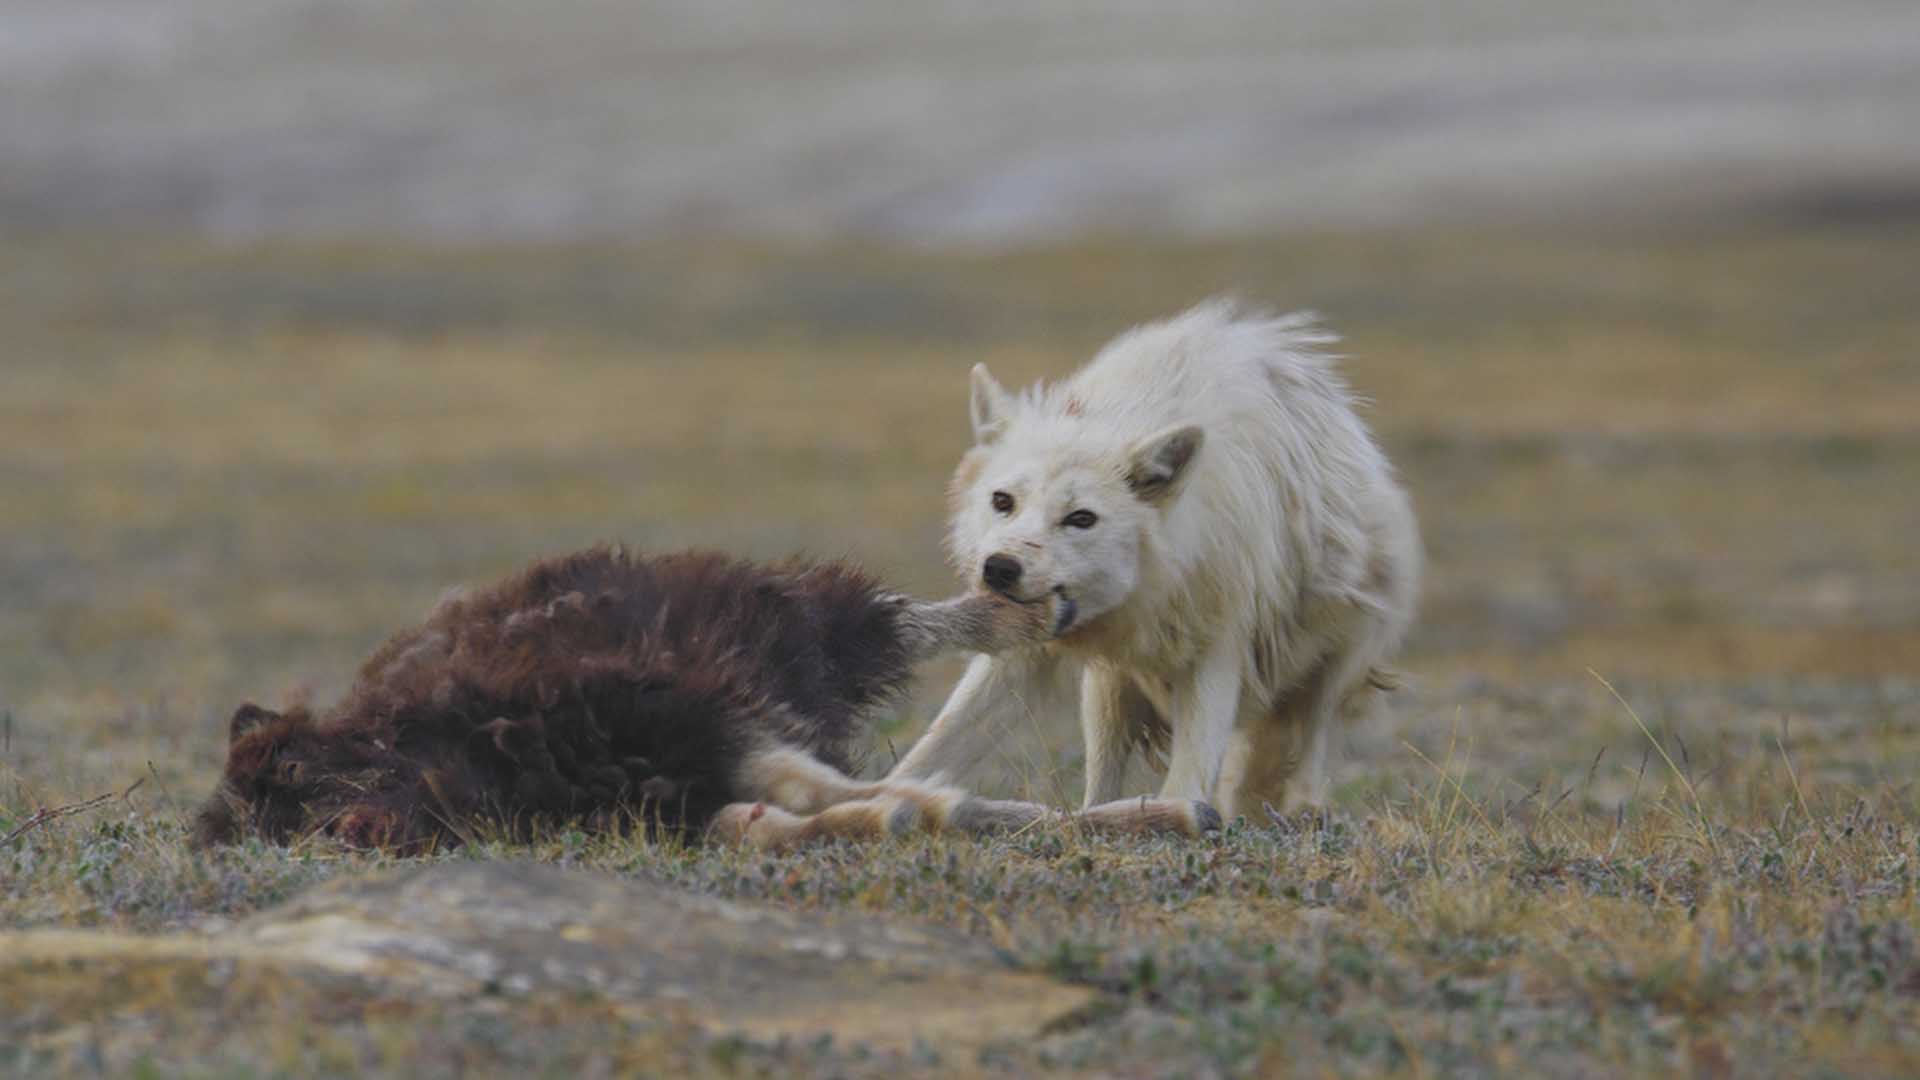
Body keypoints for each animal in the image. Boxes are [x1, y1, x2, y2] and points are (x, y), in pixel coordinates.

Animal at [890, 294, 1420, 814]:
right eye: (1002, 501)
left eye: (1081, 518)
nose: (999, 569)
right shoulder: (1026, 651)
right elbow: (937, 744)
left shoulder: (1218, 651)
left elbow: (1186, 781)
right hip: (1108, 688)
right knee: (1101, 779)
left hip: (1332, 660)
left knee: (1311, 736)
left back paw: (1300, 808)